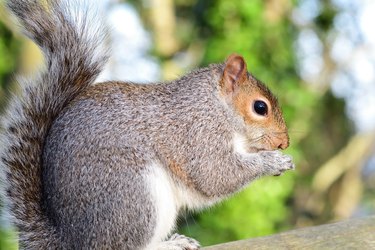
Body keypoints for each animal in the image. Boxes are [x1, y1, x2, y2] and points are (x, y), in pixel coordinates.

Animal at [1, 0, 296, 250]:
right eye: (260, 107)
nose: (284, 142)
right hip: (135, 196)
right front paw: (273, 162)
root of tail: (69, 240)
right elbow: (214, 174)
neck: (215, 104)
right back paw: (168, 245)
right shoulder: (198, 133)